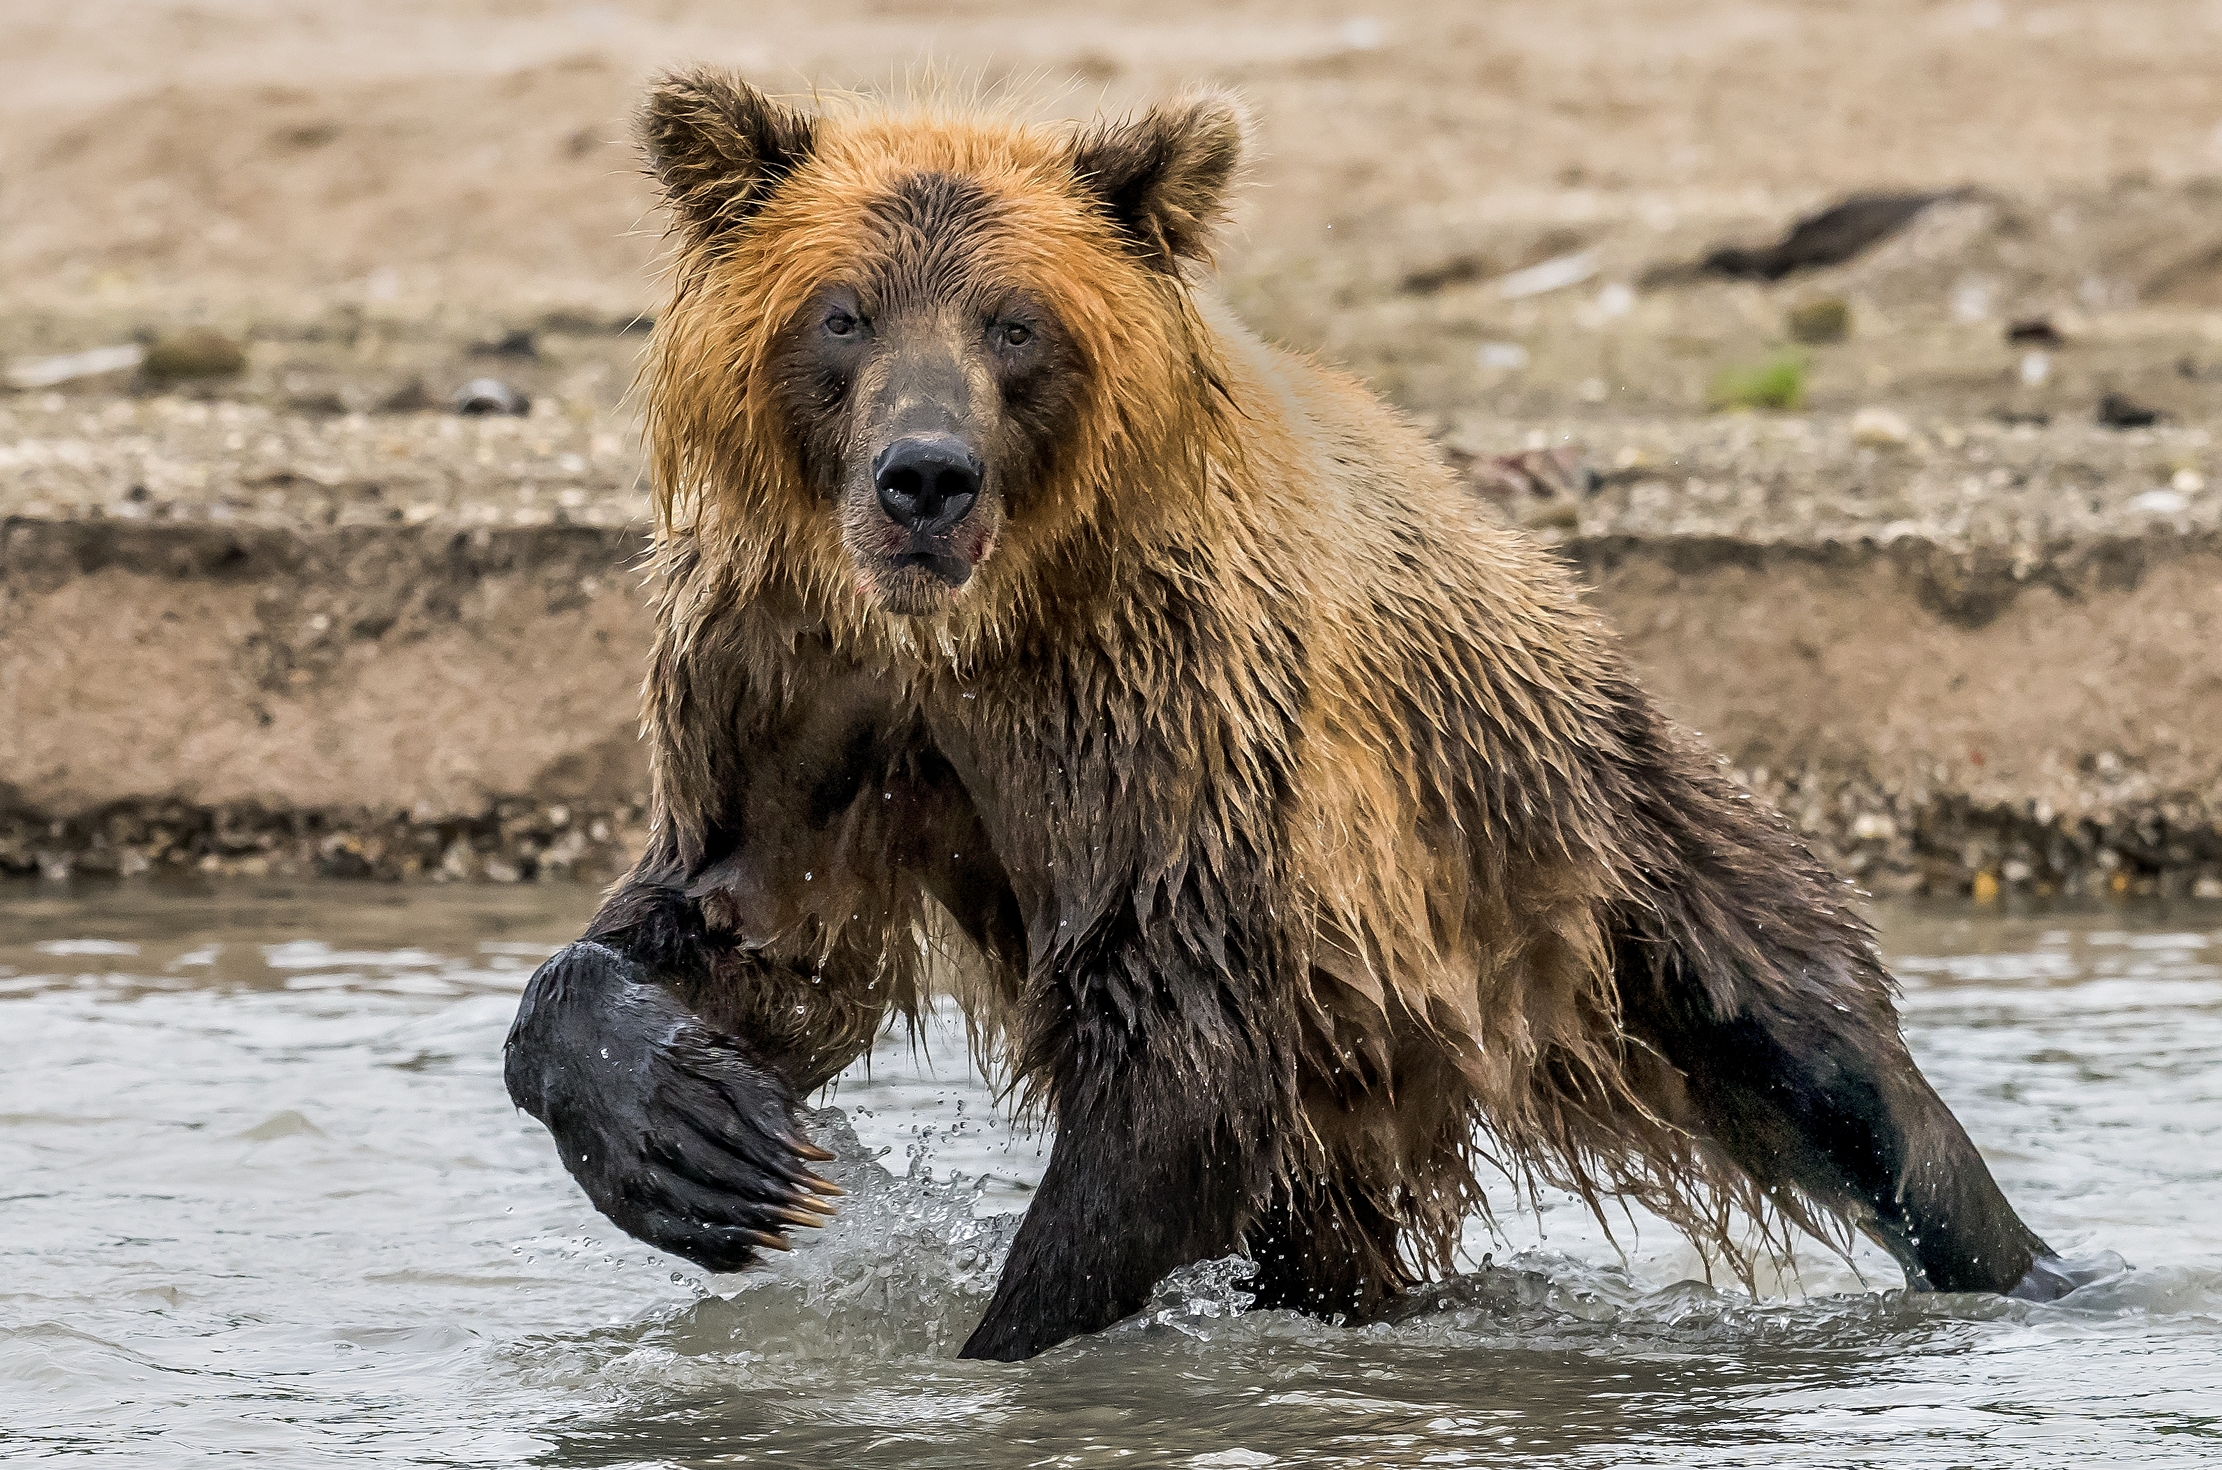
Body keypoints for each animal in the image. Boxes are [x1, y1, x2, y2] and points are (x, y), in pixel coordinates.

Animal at [502, 72, 2078, 1363]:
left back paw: (2036, 1269)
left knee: (1829, 1069)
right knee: (1333, 1232)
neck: (964, 631)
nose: (924, 476)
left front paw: (995, 1345)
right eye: (841, 312)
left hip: (1579, 836)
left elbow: (1174, 1044)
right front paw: (699, 1139)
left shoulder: (1159, 702)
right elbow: (750, 927)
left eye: (1015, 322)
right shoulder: (789, 680)